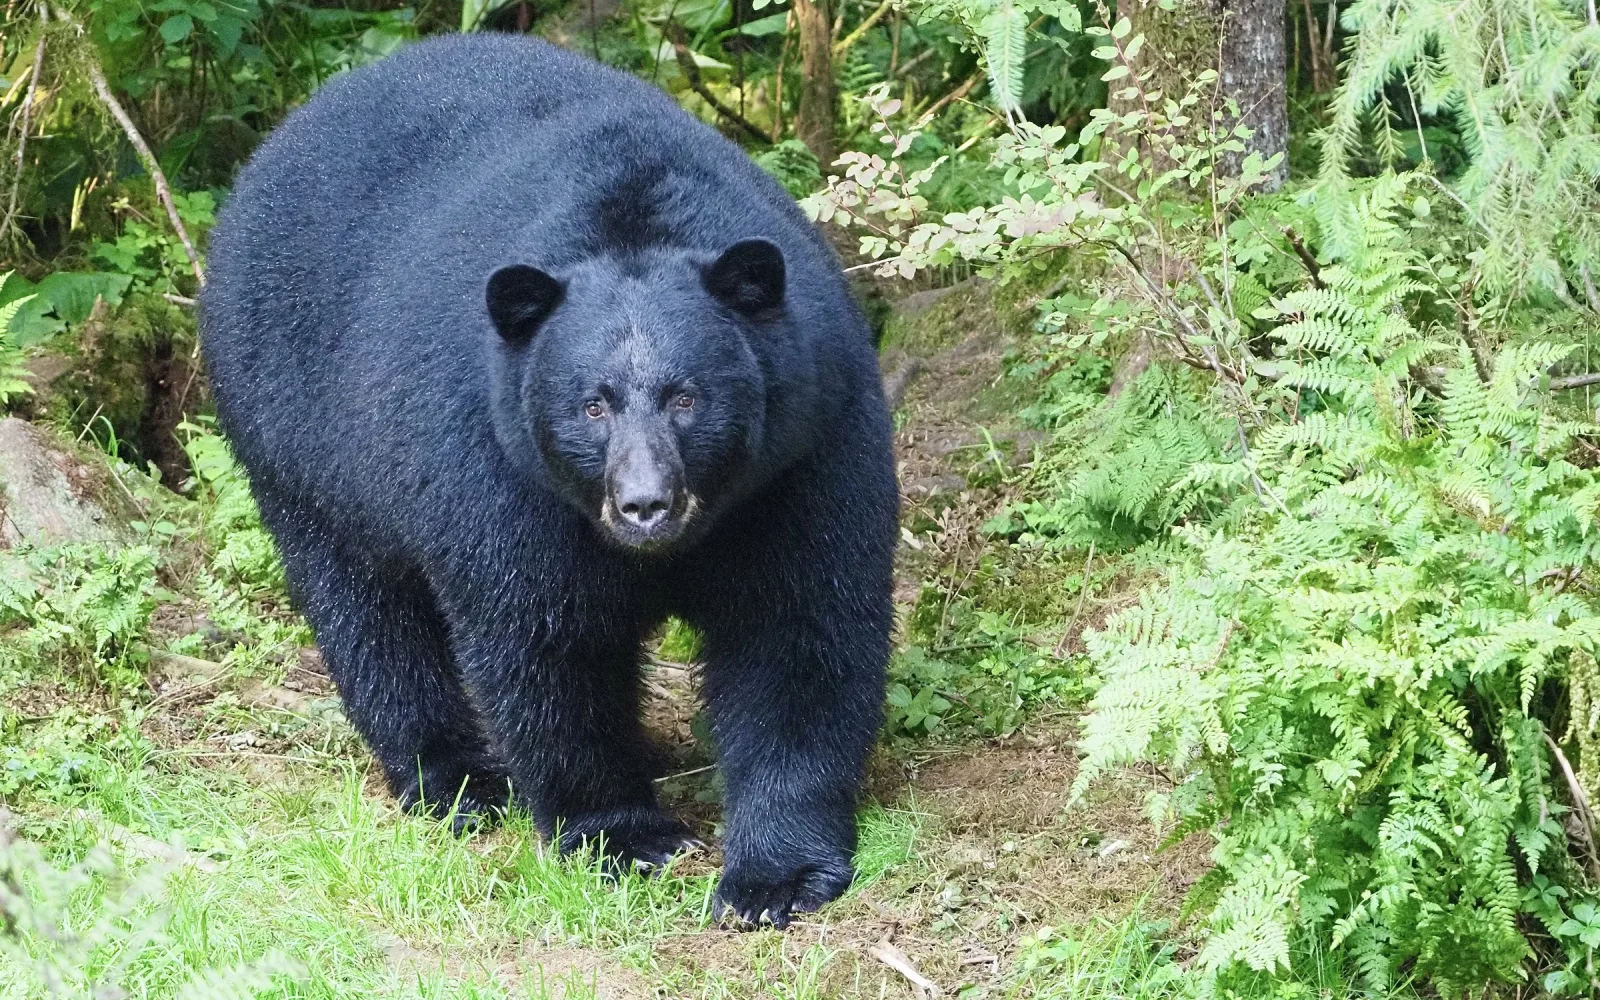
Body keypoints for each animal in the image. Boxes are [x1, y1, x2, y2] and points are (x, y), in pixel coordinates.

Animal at [198, 33, 898, 926]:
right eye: (592, 405)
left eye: (687, 397)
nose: (644, 505)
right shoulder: (498, 472)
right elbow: (546, 644)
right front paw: (623, 836)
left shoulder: (805, 452)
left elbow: (798, 626)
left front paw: (777, 875)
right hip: (297, 439)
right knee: (368, 614)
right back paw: (455, 779)